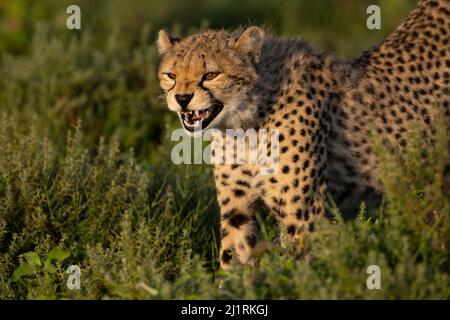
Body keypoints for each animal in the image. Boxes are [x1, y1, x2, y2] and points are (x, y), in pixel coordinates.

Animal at [156, 0, 448, 270]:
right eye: (171, 75)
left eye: (211, 74)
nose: (182, 98)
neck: (244, 122)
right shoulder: (237, 208)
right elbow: (234, 258)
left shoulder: (302, 214)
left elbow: (297, 271)